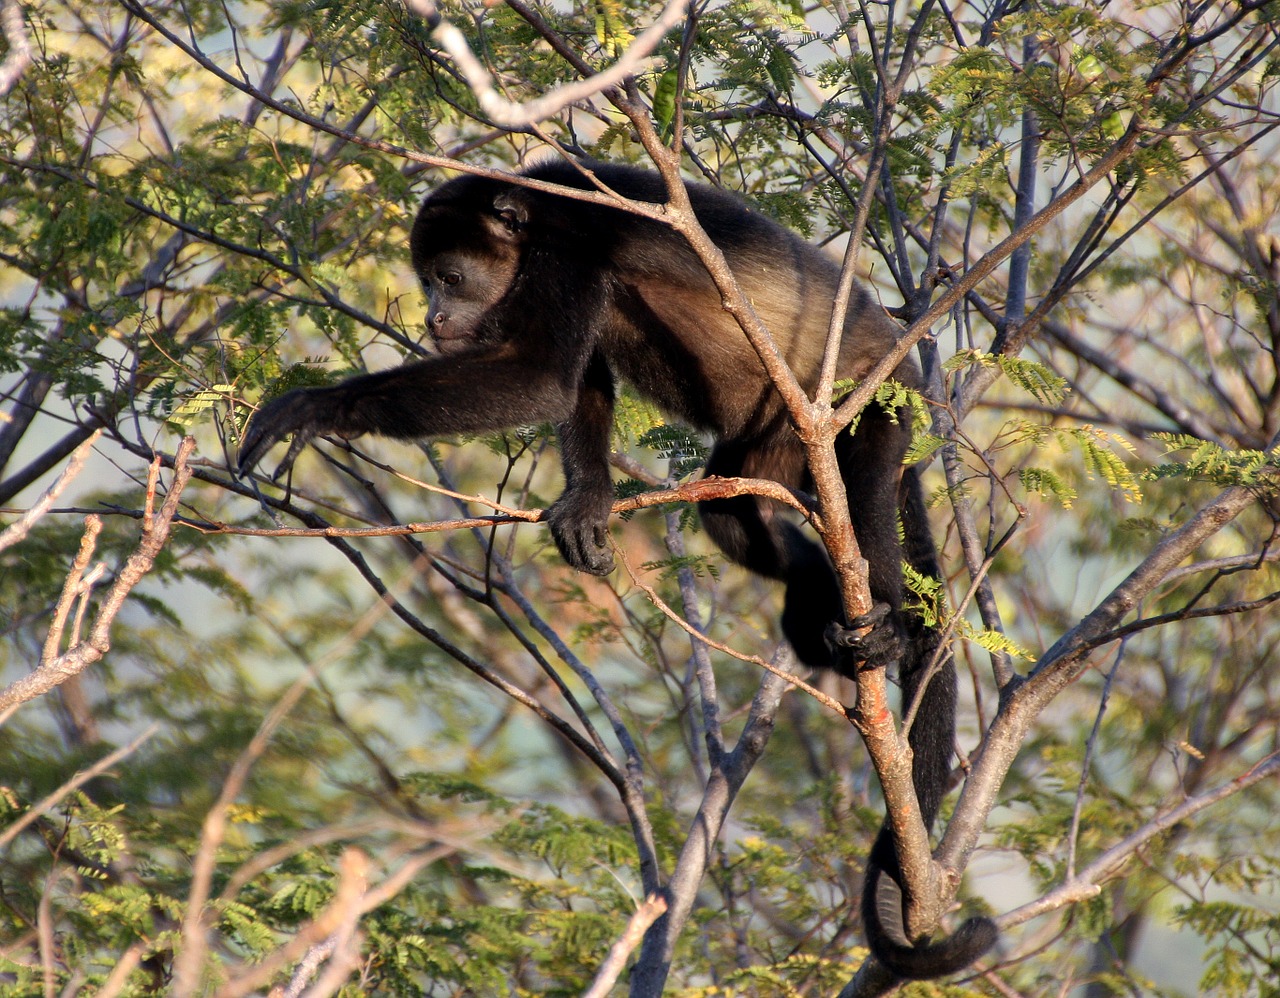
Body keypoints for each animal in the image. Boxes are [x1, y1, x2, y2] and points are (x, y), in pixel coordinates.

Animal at [240, 159, 998, 977]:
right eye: (428, 280)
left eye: (450, 276)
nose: (435, 318)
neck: (533, 218)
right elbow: (578, 381)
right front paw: (586, 501)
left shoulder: (569, 250)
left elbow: (540, 375)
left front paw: (320, 406)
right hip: (769, 444)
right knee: (732, 513)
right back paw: (812, 601)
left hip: (874, 404)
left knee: (862, 496)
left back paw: (885, 623)